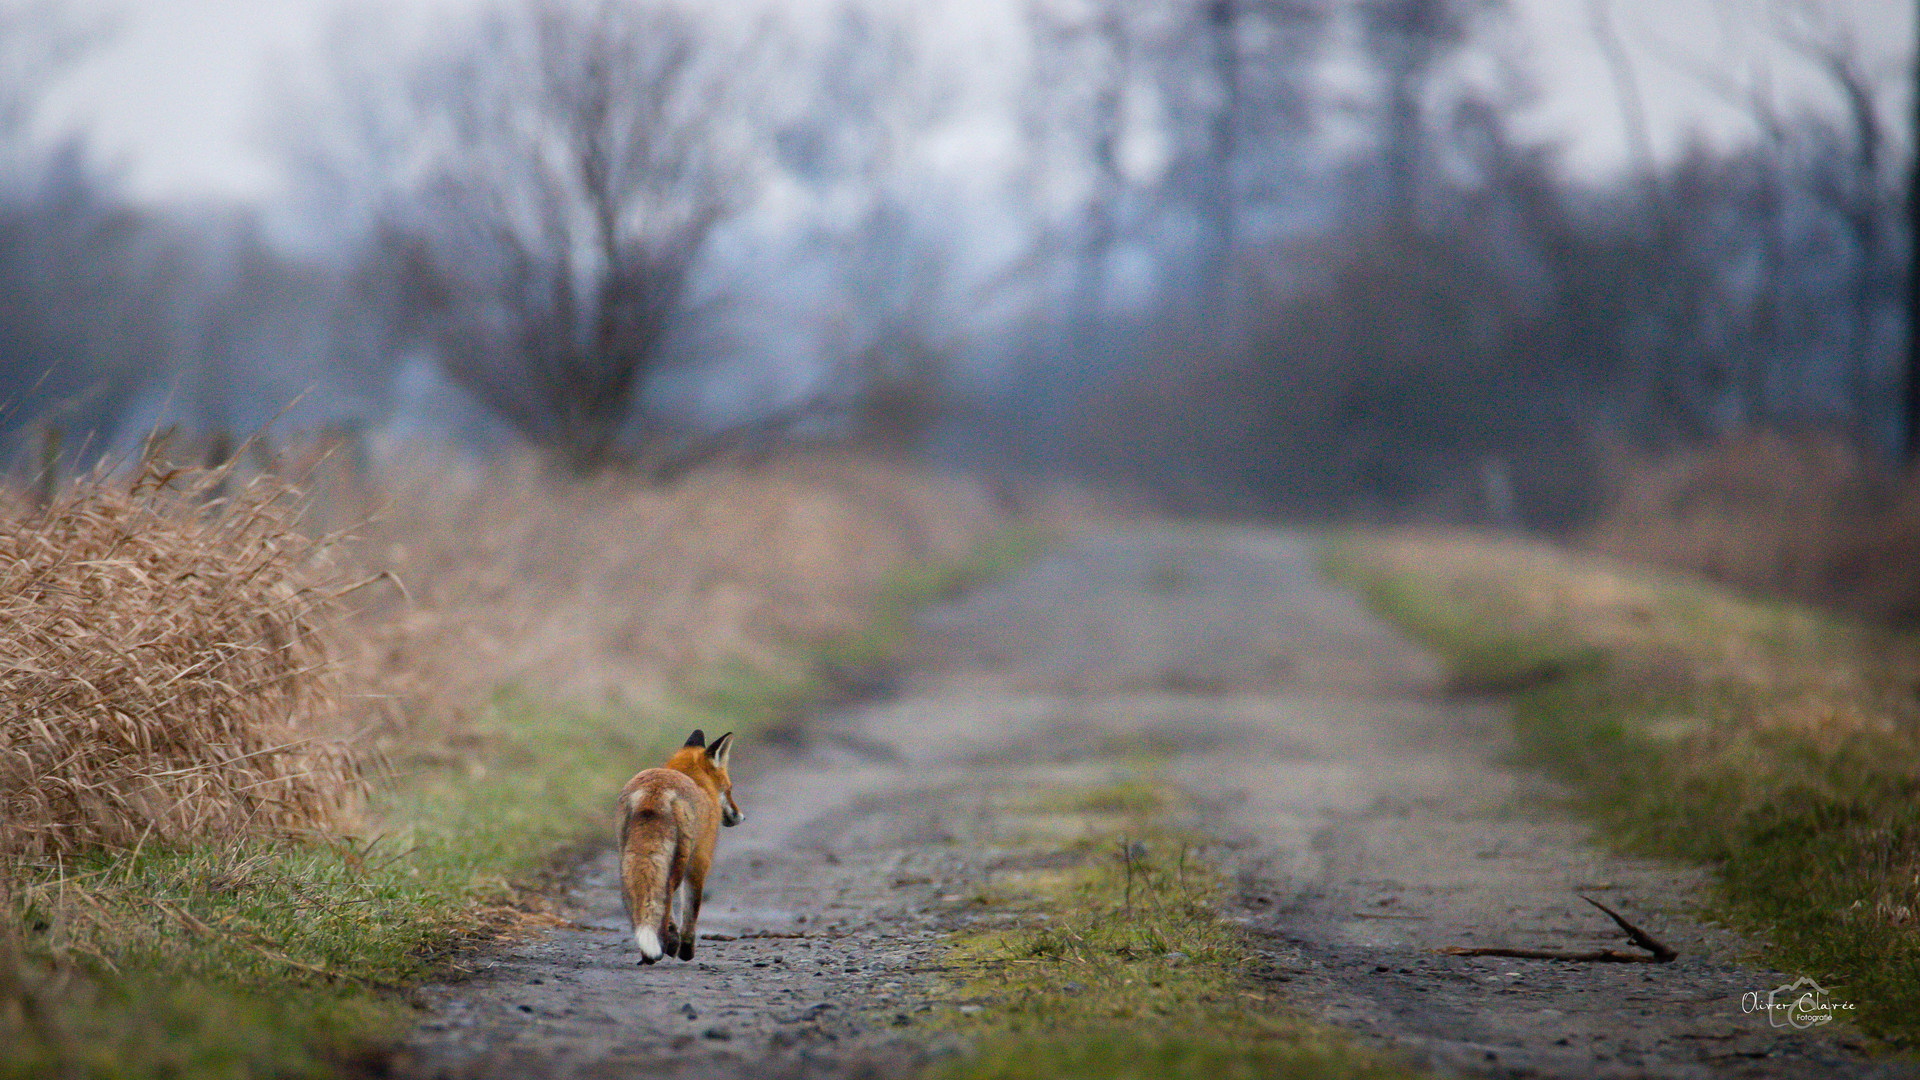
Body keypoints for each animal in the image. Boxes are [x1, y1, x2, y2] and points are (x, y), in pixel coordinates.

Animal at [614, 726, 741, 960]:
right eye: (729, 788)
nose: (741, 816)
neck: (697, 782)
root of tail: (655, 790)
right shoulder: (700, 860)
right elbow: (691, 908)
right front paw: (686, 948)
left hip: (626, 854)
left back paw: (650, 949)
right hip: (681, 857)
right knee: (667, 893)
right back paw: (667, 944)